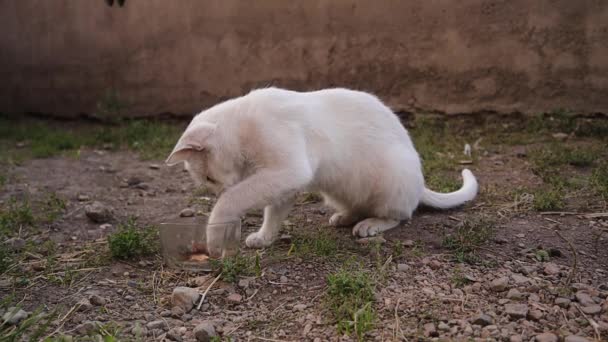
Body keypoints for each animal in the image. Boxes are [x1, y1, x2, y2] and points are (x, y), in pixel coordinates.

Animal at [166, 88, 480, 256]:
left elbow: (231, 200)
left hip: (392, 178)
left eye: (209, 178)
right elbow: (273, 213)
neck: (244, 127)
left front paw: (215, 236)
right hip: (337, 187)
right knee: (359, 205)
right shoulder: (284, 183)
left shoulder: (289, 170)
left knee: (401, 215)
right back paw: (345, 217)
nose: (216, 188)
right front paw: (265, 237)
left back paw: (370, 225)